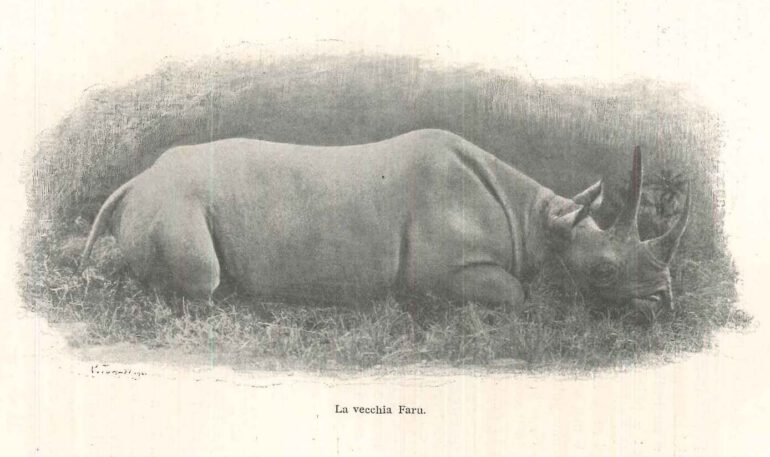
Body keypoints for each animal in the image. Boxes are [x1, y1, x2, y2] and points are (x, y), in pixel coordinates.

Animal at [80, 129, 688, 314]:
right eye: (604, 272)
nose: (663, 301)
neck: (538, 221)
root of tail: (135, 181)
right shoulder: (441, 272)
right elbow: (518, 294)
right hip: (172, 202)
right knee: (202, 282)